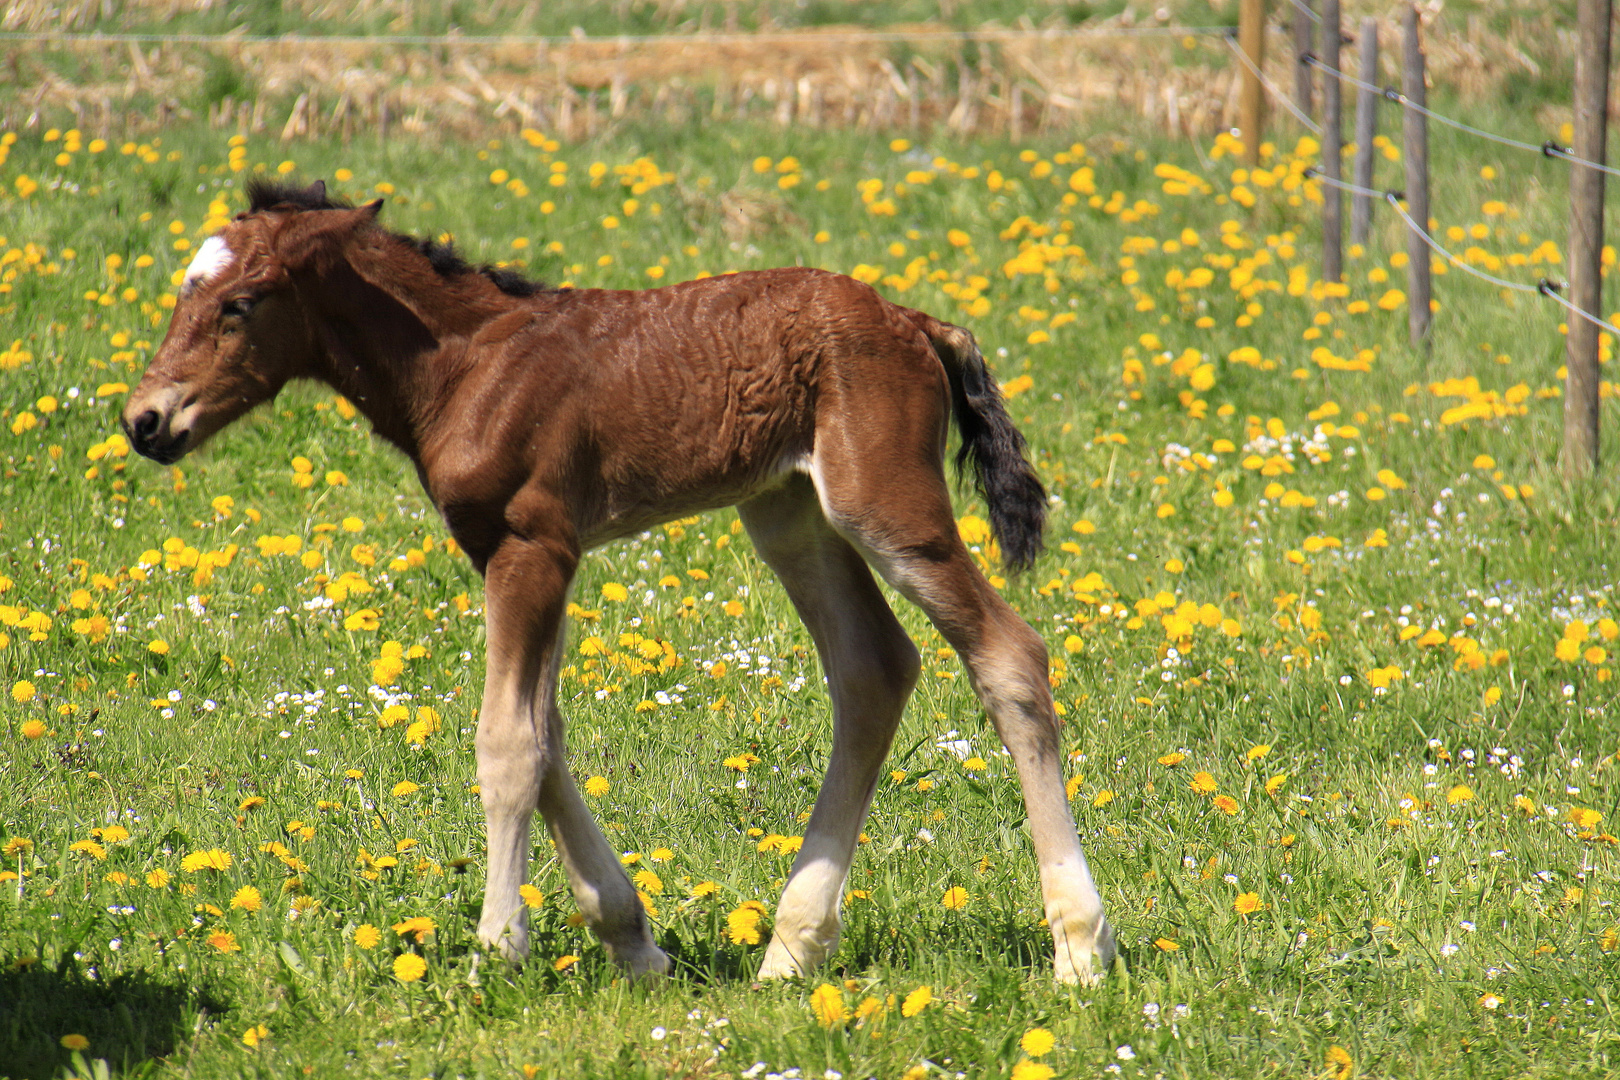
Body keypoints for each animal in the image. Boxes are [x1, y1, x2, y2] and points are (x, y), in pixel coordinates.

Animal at [123, 181, 1114, 984]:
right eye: (182, 295)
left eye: (241, 304)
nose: (145, 420)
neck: (467, 364)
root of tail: (914, 321)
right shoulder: (517, 554)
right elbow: (545, 729)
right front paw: (634, 943)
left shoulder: (533, 546)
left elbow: (509, 743)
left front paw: (498, 950)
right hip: (789, 510)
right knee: (874, 670)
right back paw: (790, 952)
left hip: (886, 506)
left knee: (1008, 654)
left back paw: (1079, 947)